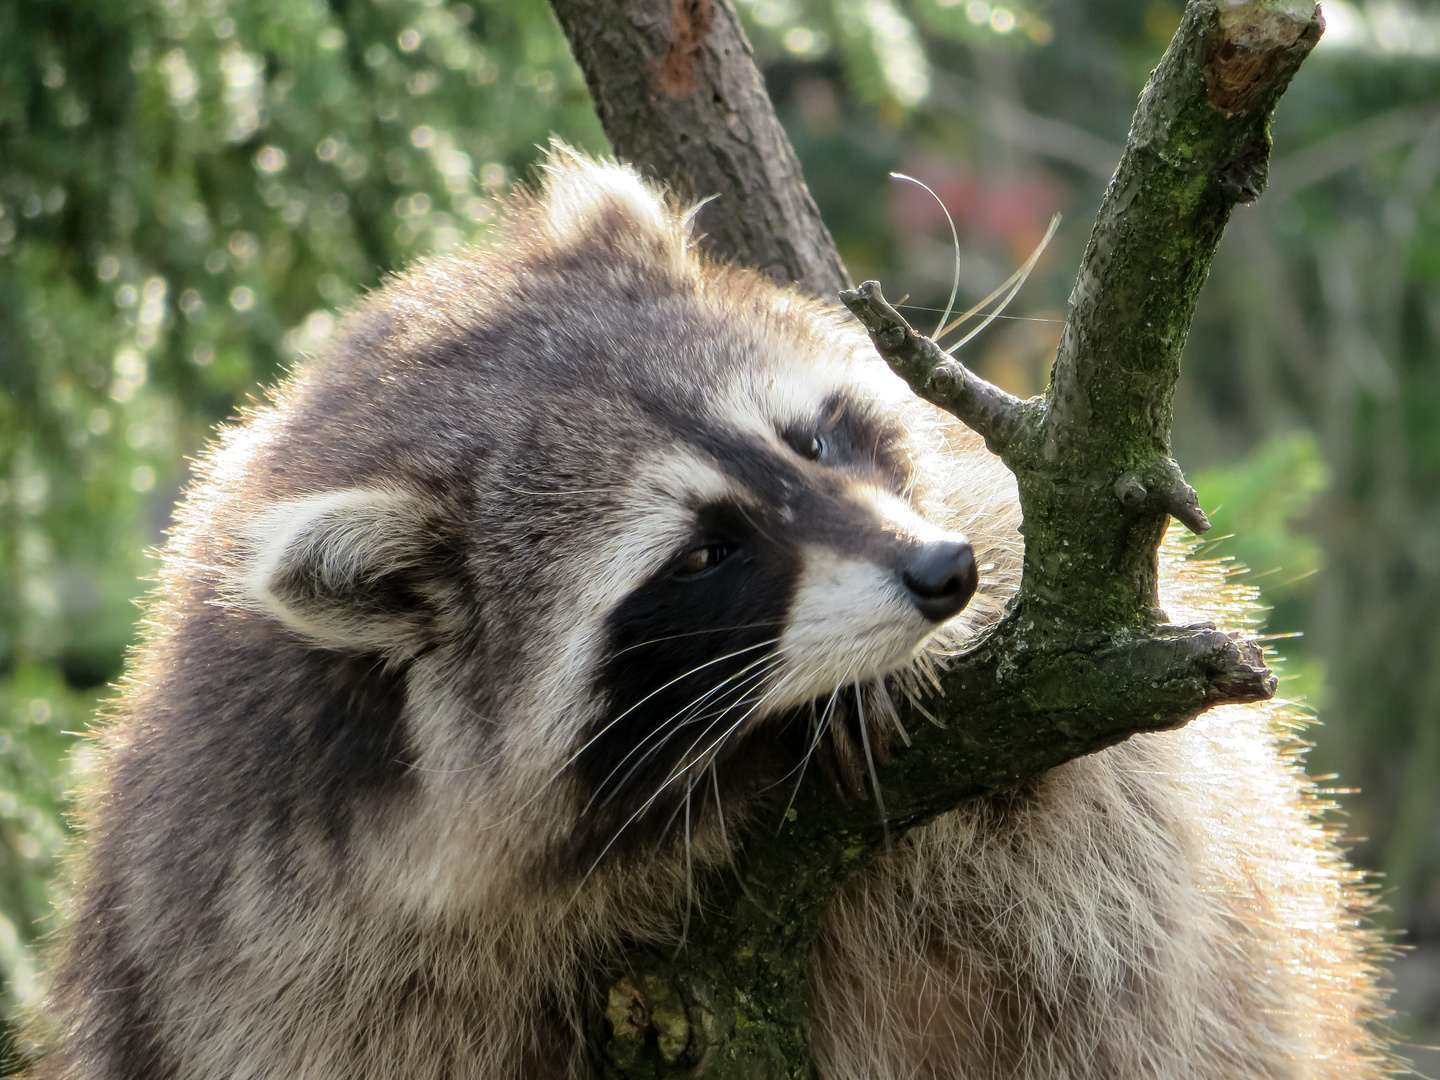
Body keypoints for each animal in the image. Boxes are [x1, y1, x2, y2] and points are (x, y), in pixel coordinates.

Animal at [30, 146, 1382, 1080]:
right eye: (708, 552)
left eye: (815, 437)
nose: (940, 577)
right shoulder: (276, 935)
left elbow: (1103, 837)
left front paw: (885, 680)